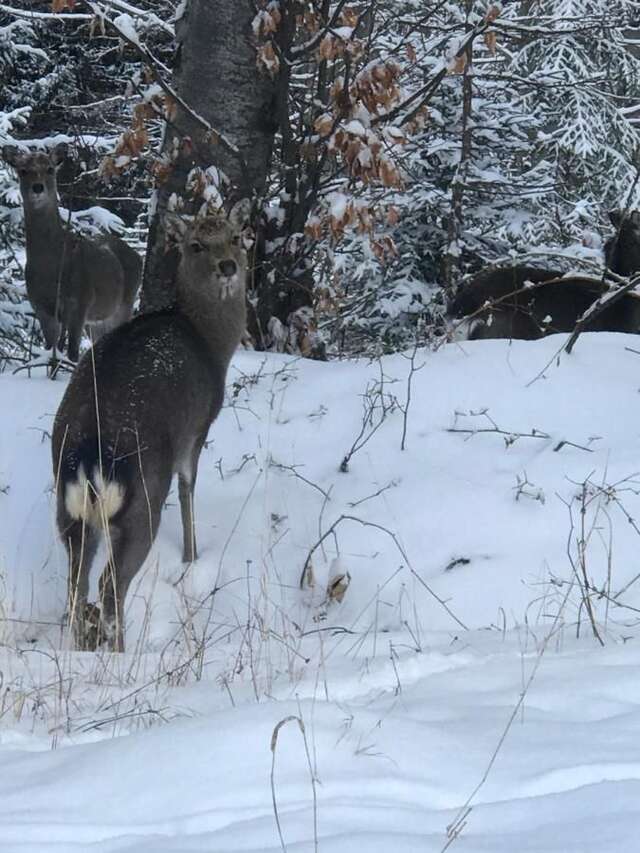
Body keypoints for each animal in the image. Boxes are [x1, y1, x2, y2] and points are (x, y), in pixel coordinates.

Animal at [0, 142, 141, 360]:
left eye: (50, 168)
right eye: (23, 170)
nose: (38, 187)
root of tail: (137, 256)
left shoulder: (80, 302)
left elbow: (72, 352)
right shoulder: (41, 307)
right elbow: (51, 349)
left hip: (125, 302)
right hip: (98, 319)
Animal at [50, 201, 250, 652]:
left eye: (236, 237)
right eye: (196, 245)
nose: (228, 266)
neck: (213, 344)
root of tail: (89, 456)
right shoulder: (198, 427)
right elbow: (189, 487)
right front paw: (192, 557)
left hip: (68, 513)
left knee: (76, 585)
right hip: (142, 500)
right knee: (109, 584)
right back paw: (123, 653)